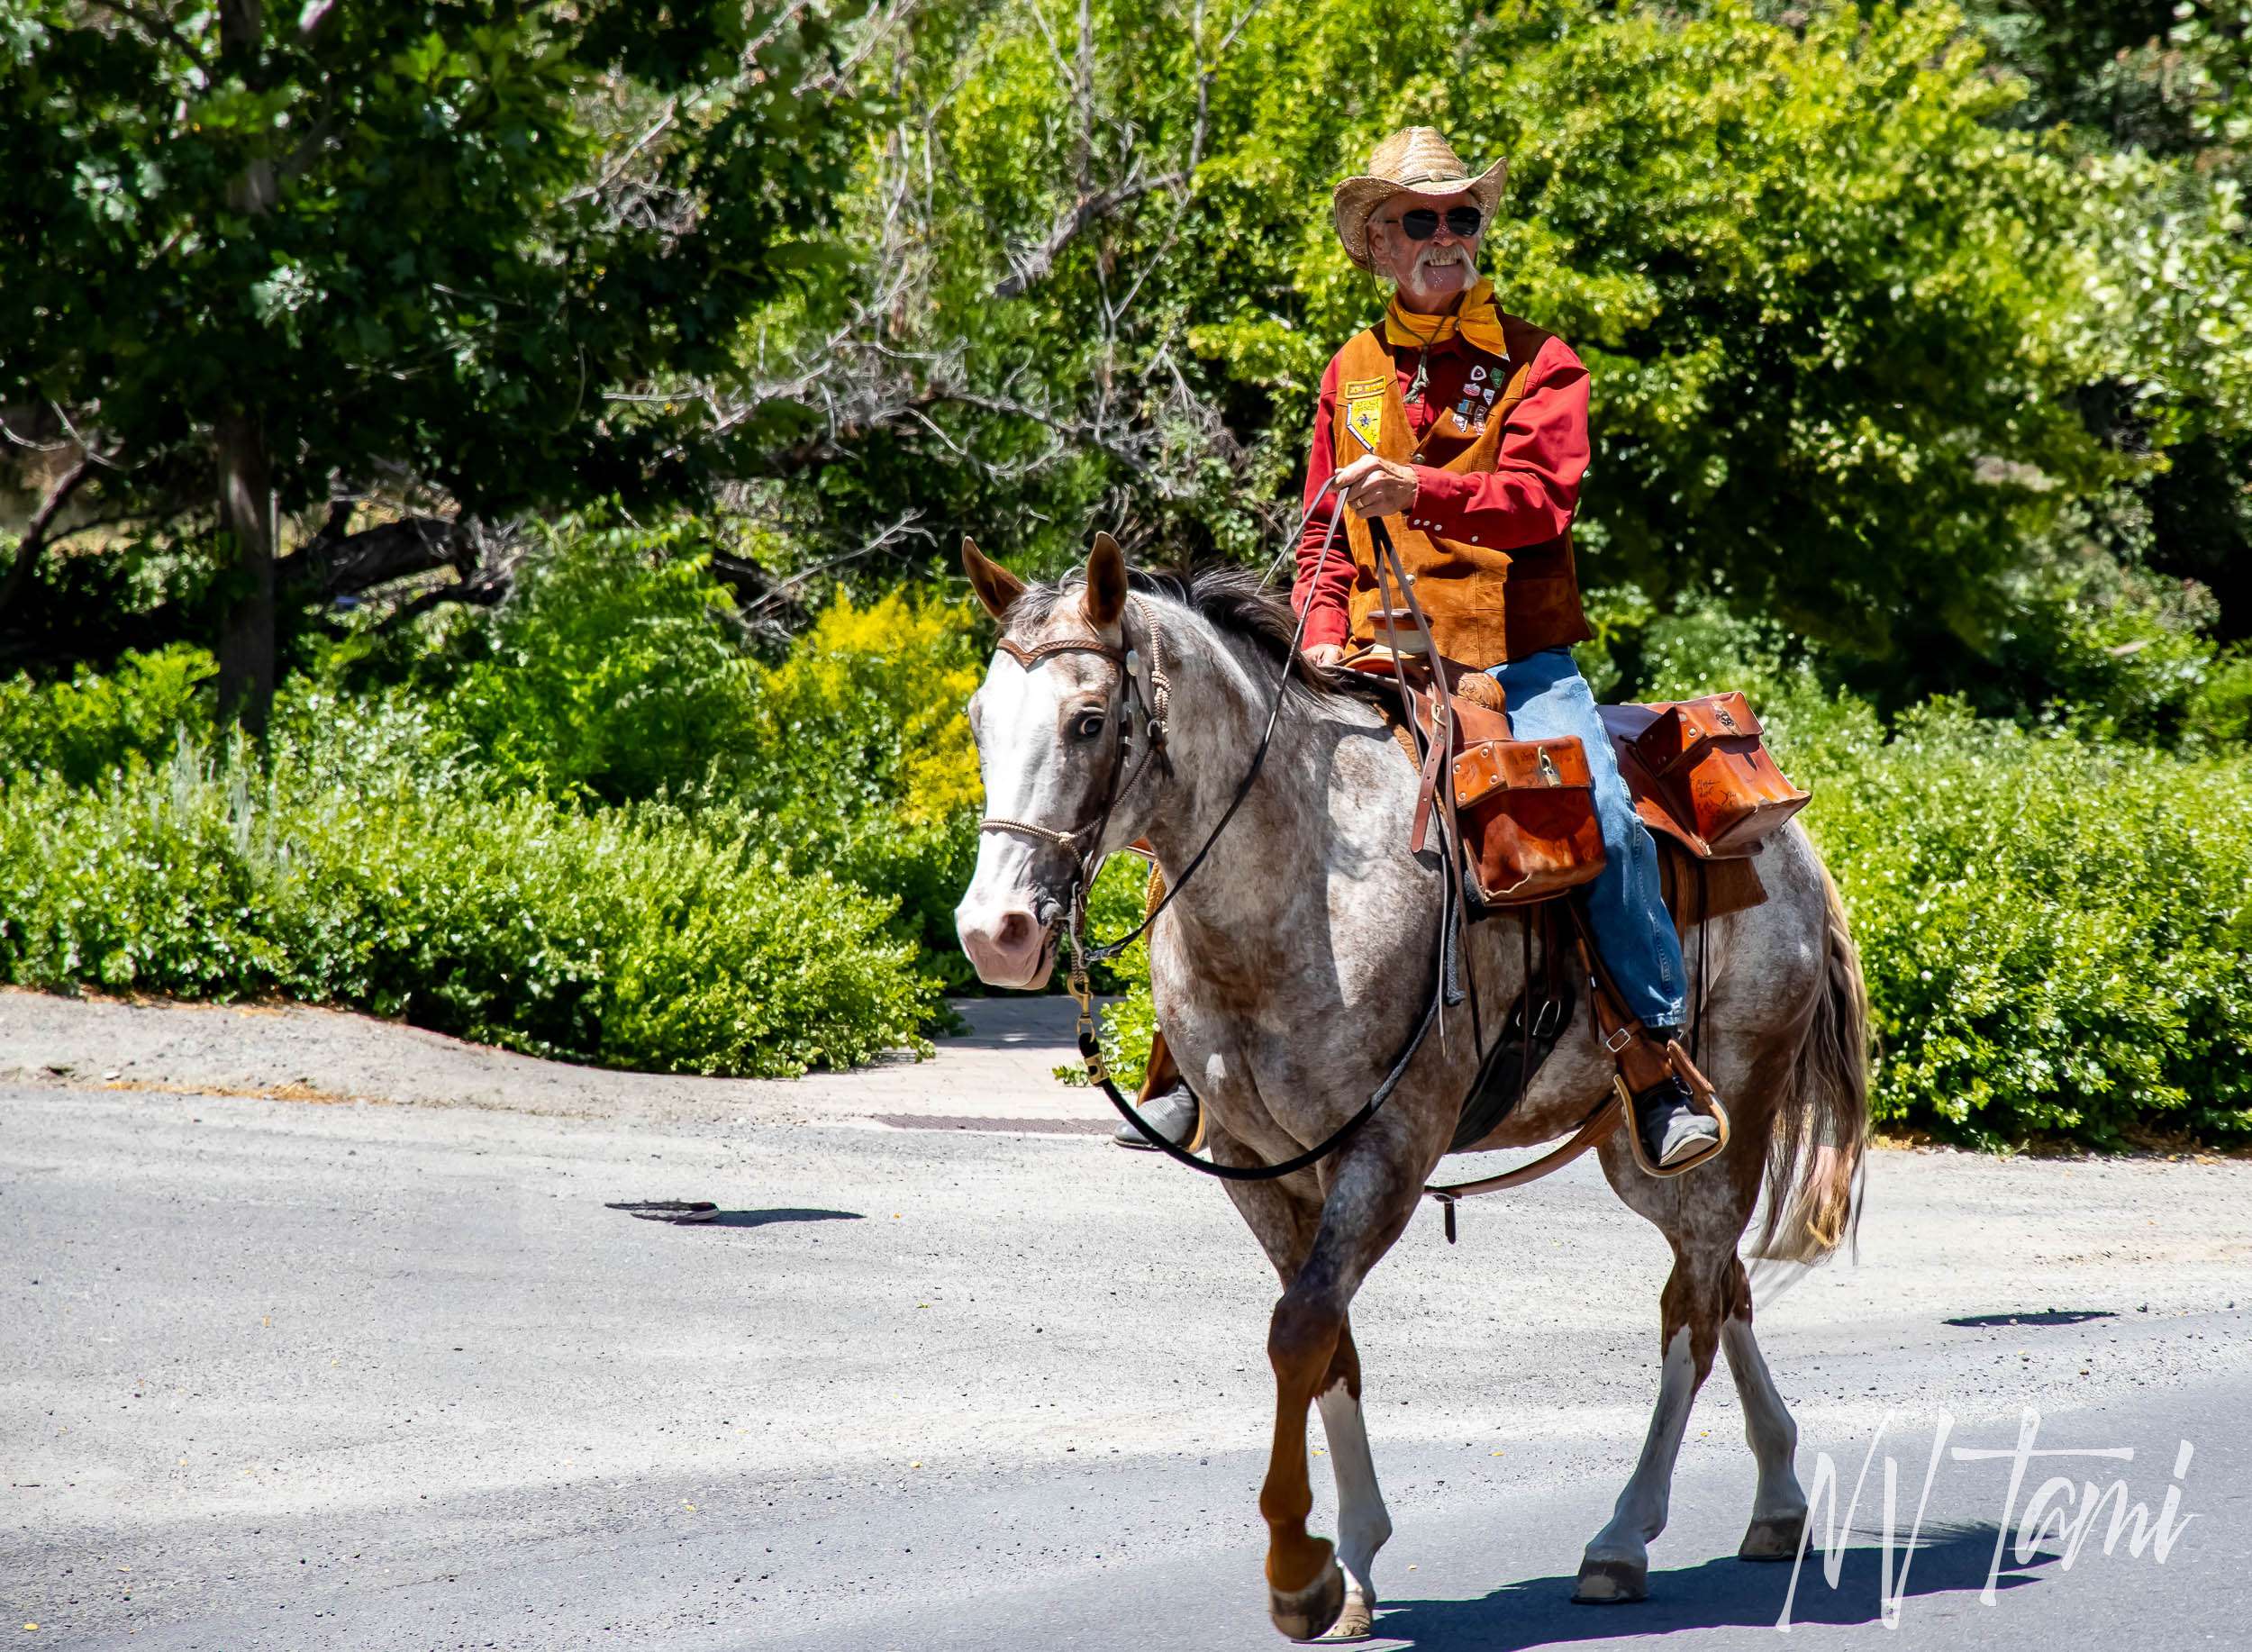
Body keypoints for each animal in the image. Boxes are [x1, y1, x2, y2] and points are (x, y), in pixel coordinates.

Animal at [959, 533, 1874, 1647]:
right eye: (979, 719)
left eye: (1089, 720)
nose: (993, 932)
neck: (1303, 877)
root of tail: (1794, 846)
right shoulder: (1259, 1163)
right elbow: (1328, 1344)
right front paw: (1351, 1563)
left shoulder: (1387, 1149)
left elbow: (1301, 1329)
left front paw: (1300, 1570)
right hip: (1636, 1151)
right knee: (1724, 1288)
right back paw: (1777, 1496)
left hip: (1724, 1121)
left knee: (1689, 1312)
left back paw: (1622, 1536)